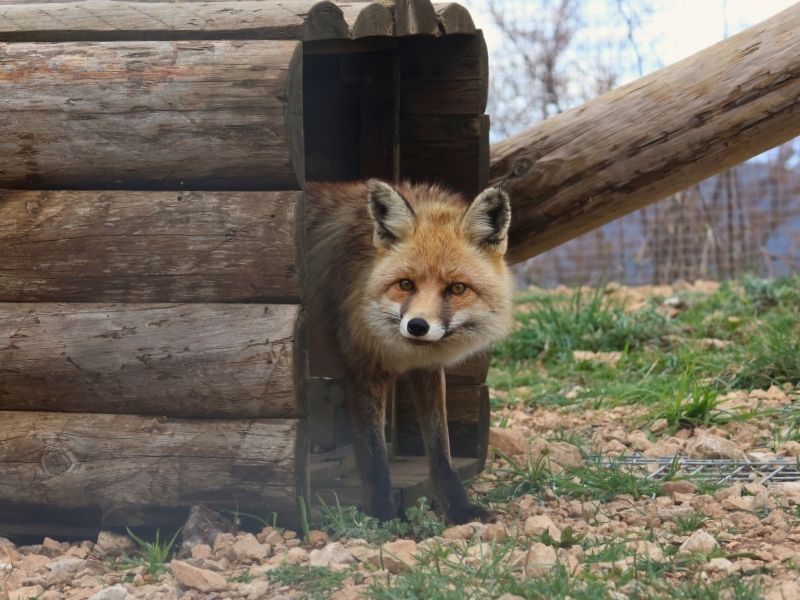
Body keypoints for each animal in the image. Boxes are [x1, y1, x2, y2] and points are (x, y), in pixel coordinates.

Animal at [306, 179, 514, 524]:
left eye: (457, 288)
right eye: (405, 284)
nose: (417, 326)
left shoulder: (428, 370)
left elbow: (441, 448)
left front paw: (458, 508)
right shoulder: (362, 372)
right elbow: (375, 458)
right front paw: (383, 517)